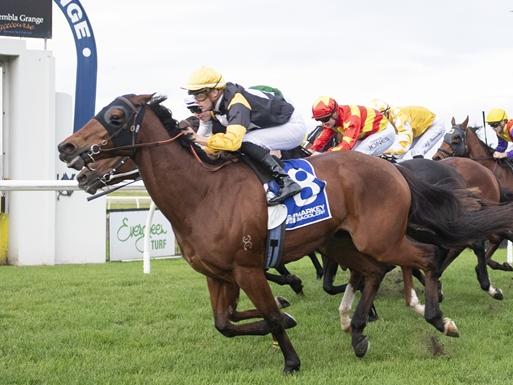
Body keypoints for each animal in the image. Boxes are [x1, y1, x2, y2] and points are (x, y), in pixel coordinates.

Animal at [57, 94, 513, 372]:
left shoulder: (247, 268)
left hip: (378, 237)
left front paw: (291, 358)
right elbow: (225, 322)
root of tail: (395, 170)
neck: (202, 192)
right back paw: (359, 329)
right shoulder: (218, 274)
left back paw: (438, 316)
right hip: (344, 241)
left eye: (116, 116)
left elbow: (271, 317)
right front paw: (288, 308)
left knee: (426, 257)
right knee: (376, 270)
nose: (68, 149)